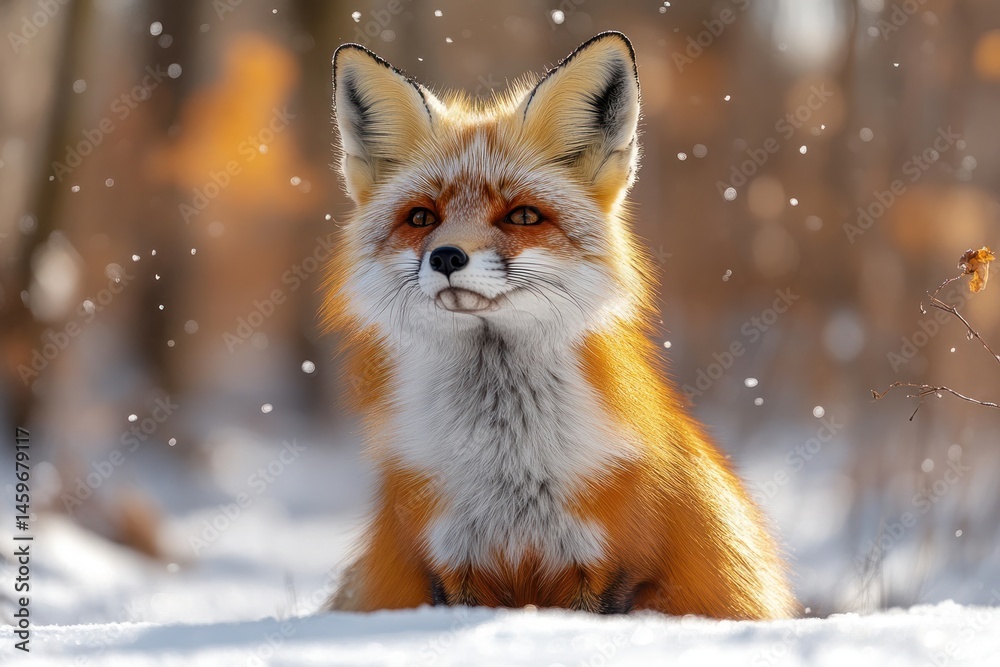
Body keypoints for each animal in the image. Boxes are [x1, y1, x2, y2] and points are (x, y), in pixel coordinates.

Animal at [323, 31, 797, 619]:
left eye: (523, 216)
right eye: (421, 218)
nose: (447, 256)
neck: (508, 464)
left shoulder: (608, 562)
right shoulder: (448, 560)